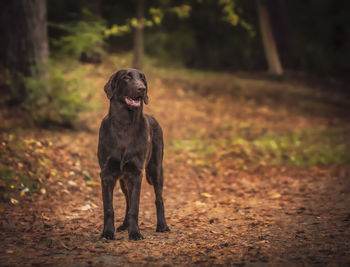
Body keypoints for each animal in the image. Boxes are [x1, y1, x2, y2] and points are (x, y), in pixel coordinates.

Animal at [98, 68, 170, 241]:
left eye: (142, 79)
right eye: (126, 77)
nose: (141, 89)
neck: (124, 124)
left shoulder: (136, 173)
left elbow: (135, 207)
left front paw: (135, 233)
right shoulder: (107, 174)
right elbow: (109, 208)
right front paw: (107, 233)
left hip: (155, 170)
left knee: (158, 198)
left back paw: (162, 225)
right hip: (123, 180)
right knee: (127, 199)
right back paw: (124, 225)